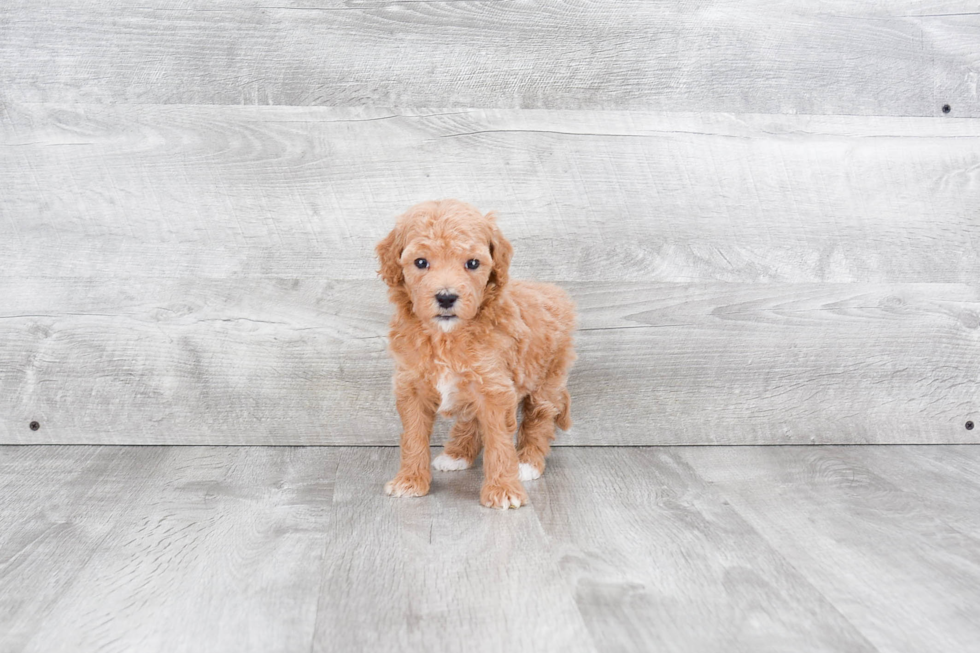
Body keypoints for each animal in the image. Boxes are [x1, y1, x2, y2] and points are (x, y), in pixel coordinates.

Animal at [374, 199, 576, 510]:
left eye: (472, 263)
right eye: (420, 262)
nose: (446, 297)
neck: (446, 336)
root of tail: (551, 291)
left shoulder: (495, 388)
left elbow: (499, 443)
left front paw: (504, 489)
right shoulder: (412, 386)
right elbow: (414, 437)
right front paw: (410, 481)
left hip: (547, 377)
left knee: (539, 419)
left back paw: (527, 463)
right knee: (471, 418)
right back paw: (456, 455)